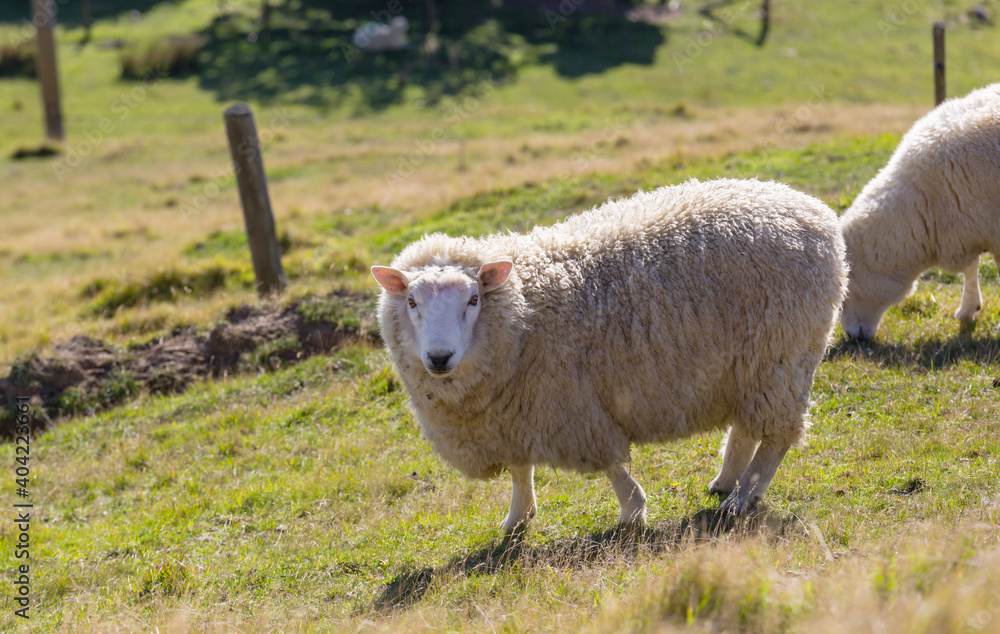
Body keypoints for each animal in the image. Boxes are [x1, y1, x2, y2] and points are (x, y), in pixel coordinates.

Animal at [372, 178, 847, 530]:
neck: (524, 316)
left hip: (782, 355)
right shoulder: (513, 414)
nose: (438, 357)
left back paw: (744, 495)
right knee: (747, 427)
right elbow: (520, 468)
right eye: (411, 302)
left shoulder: (572, 408)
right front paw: (517, 517)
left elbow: (611, 465)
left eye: (473, 299)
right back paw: (726, 482)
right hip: (748, 366)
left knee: (776, 437)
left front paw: (632, 510)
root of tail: (810, 209)